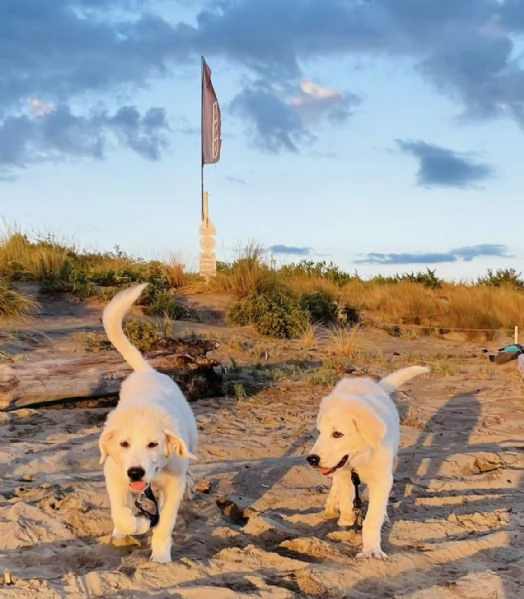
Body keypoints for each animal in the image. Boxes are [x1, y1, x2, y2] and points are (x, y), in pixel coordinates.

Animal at [98, 284, 196, 564]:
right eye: (124, 444)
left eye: (153, 444)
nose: (135, 472)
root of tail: (147, 371)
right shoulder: (114, 474)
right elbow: (121, 513)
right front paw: (136, 525)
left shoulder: (173, 482)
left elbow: (164, 523)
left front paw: (161, 555)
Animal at [308, 366, 430, 564]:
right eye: (319, 432)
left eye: (337, 434)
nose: (311, 459)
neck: (360, 457)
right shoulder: (343, 470)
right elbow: (345, 496)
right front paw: (346, 518)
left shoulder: (381, 477)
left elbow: (373, 517)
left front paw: (372, 550)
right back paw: (333, 504)